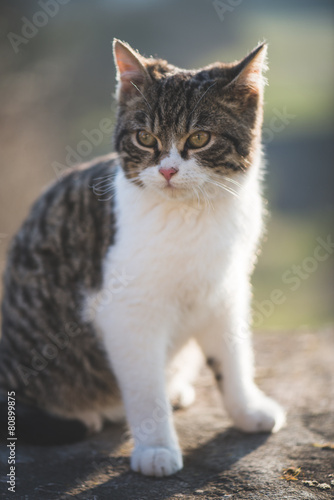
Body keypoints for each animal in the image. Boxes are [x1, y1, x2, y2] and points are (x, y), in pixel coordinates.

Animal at [0, 39, 284, 476]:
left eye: (200, 137)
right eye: (146, 137)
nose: (167, 170)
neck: (192, 215)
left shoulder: (226, 289)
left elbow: (232, 356)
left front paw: (247, 409)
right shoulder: (127, 310)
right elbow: (144, 388)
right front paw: (156, 448)